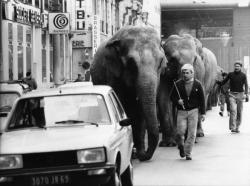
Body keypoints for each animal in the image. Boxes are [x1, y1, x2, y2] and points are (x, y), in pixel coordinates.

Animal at [90, 25, 168, 161]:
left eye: (160, 63)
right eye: (131, 63)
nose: (144, 155)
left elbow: (140, 110)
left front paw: (139, 153)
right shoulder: (112, 74)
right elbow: (120, 103)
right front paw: (134, 153)